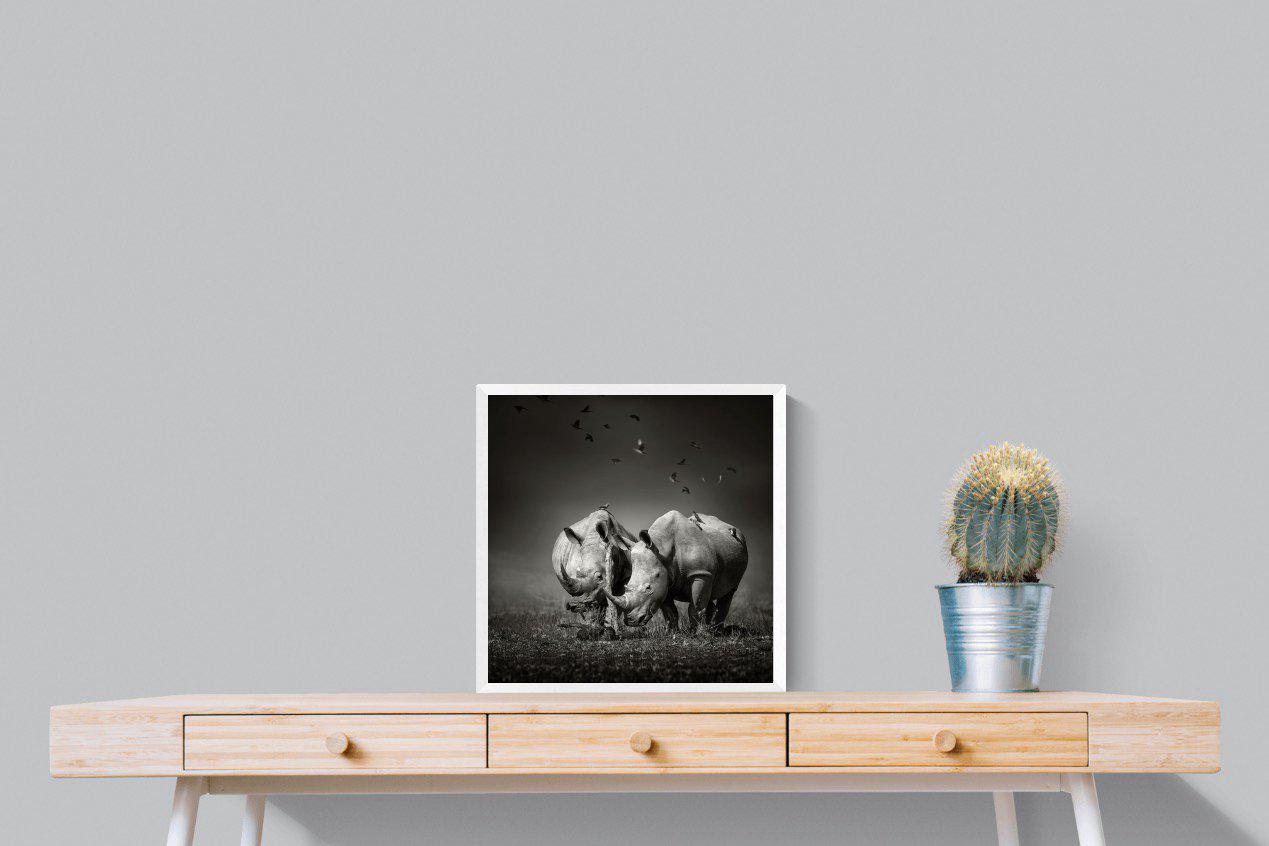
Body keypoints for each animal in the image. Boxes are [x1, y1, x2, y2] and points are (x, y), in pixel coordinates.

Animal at [601, 510, 748, 633]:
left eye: (648, 588)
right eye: (626, 586)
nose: (631, 621)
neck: (662, 548)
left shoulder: (700, 573)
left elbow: (695, 607)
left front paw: (696, 634)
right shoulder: (665, 578)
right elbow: (670, 611)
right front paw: (672, 632)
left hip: (739, 546)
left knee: (729, 592)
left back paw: (717, 632)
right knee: (710, 592)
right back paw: (711, 629)